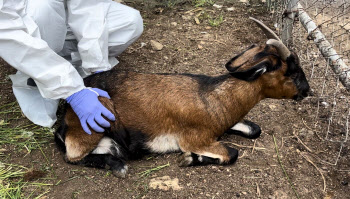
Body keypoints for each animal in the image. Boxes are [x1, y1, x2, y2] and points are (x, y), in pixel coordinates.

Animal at [55, 17, 312, 178]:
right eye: (292, 73)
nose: (307, 91)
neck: (214, 98)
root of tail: (65, 111)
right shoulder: (196, 138)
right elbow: (232, 153)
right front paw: (190, 159)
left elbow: (254, 129)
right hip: (93, 123)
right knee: (73, 156)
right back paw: (118, 165)